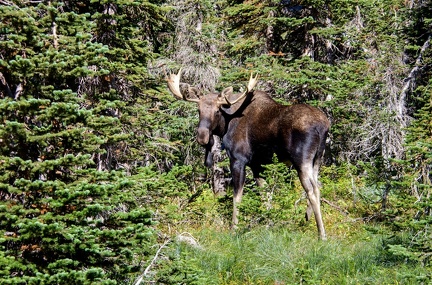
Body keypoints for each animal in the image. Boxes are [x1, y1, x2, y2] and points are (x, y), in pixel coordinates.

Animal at [167, 67, 330, 239]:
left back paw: (321, 233)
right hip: (317, 159)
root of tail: (323, 125)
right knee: (318, 185)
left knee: (312, 190)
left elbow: (237, 197)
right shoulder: (258, 165)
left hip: (301, 160)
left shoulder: (238, 159)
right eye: (198, 110)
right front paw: (267, 224)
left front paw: (234, 228)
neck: (227, 123)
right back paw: (308, 216)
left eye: (217, 111)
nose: (202, 137)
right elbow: (265, 195)